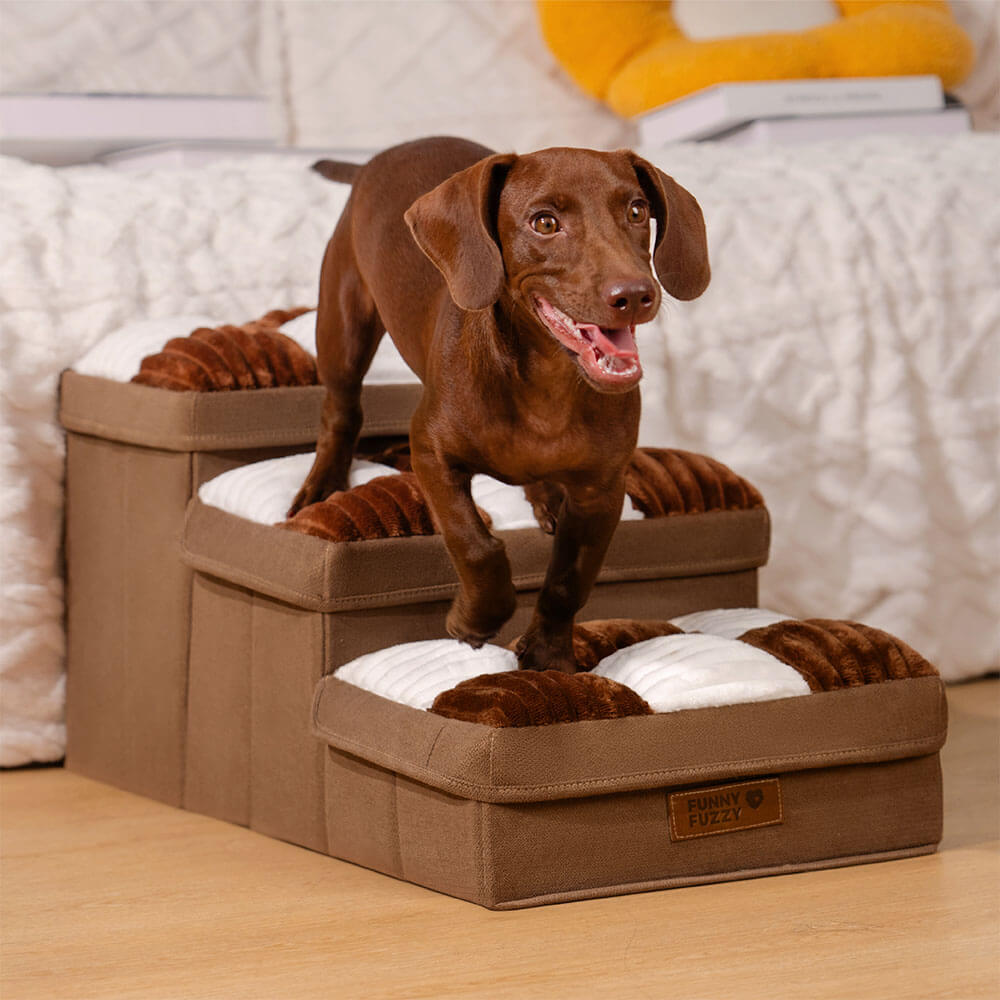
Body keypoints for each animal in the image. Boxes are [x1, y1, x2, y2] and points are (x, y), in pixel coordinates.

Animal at [290, 137, 712, 672]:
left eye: (637, 211)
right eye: (545, 223)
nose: (636, 295)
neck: (547, 387)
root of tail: (381, 156)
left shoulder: (602, 492)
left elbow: (568, 583)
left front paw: (550, 655)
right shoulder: (430, 453)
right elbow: (476, 544)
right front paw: (475, 620)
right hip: (342, 326)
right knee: (342, 411)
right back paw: (322, 483)